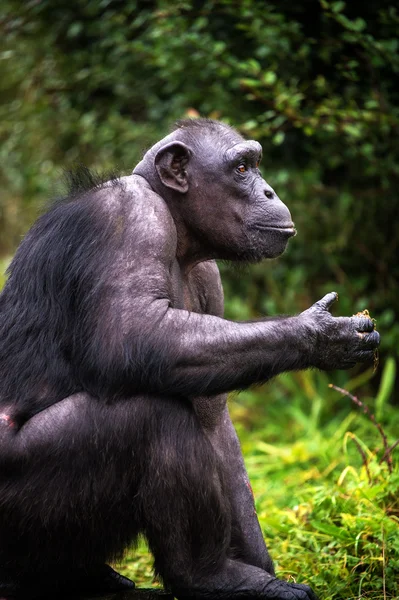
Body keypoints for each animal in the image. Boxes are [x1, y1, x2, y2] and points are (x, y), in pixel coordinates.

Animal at [0, 118, 382, 600]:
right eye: (242, 168)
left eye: (254, 164)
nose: (269, 191)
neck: (180, 232)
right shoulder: (133, 220)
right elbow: (132, 332)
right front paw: (320, 334)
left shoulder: (209, 278)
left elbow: (214, 418)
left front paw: (264, 572)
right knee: (151, 417)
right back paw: (208, 576)